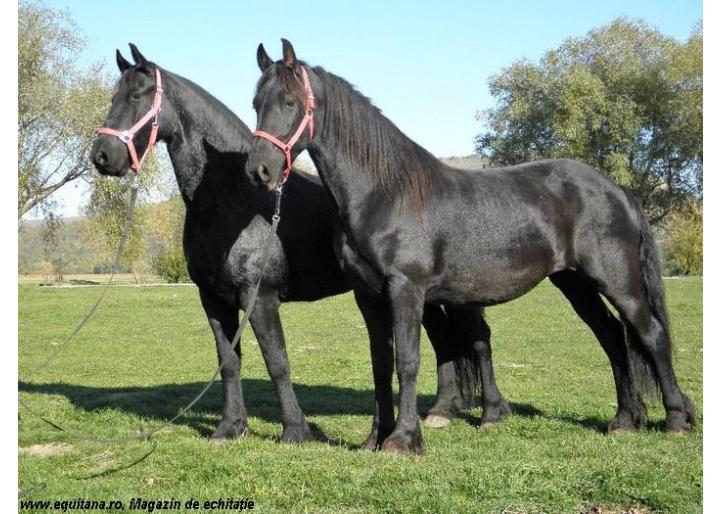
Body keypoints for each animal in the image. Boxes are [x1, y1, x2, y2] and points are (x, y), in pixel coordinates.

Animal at [90, 45, 506, 440]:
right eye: (113, 96)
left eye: (138, 96)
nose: (102, 155)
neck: (234, 199)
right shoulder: (212, 298)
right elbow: (229, 362)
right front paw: (230, 427)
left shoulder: (259, 296)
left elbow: (277, 362)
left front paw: (295, 430)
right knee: (444, 342)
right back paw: (442, 411)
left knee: (478, 340)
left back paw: (488, 413)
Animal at [245, 40, 696, 452]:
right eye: (255, 103)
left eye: (289, 101)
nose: (259, 170)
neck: (385, 192)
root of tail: (616, 190)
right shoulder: (368, 296)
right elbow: (381, 365)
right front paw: (376, 437)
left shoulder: (406, 289)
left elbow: (408, 362)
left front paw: (403, 440)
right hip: (575, 283)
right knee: (612, 336)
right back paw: (624, 420)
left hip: (618, 281)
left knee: (650, 334)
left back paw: (676, 419)